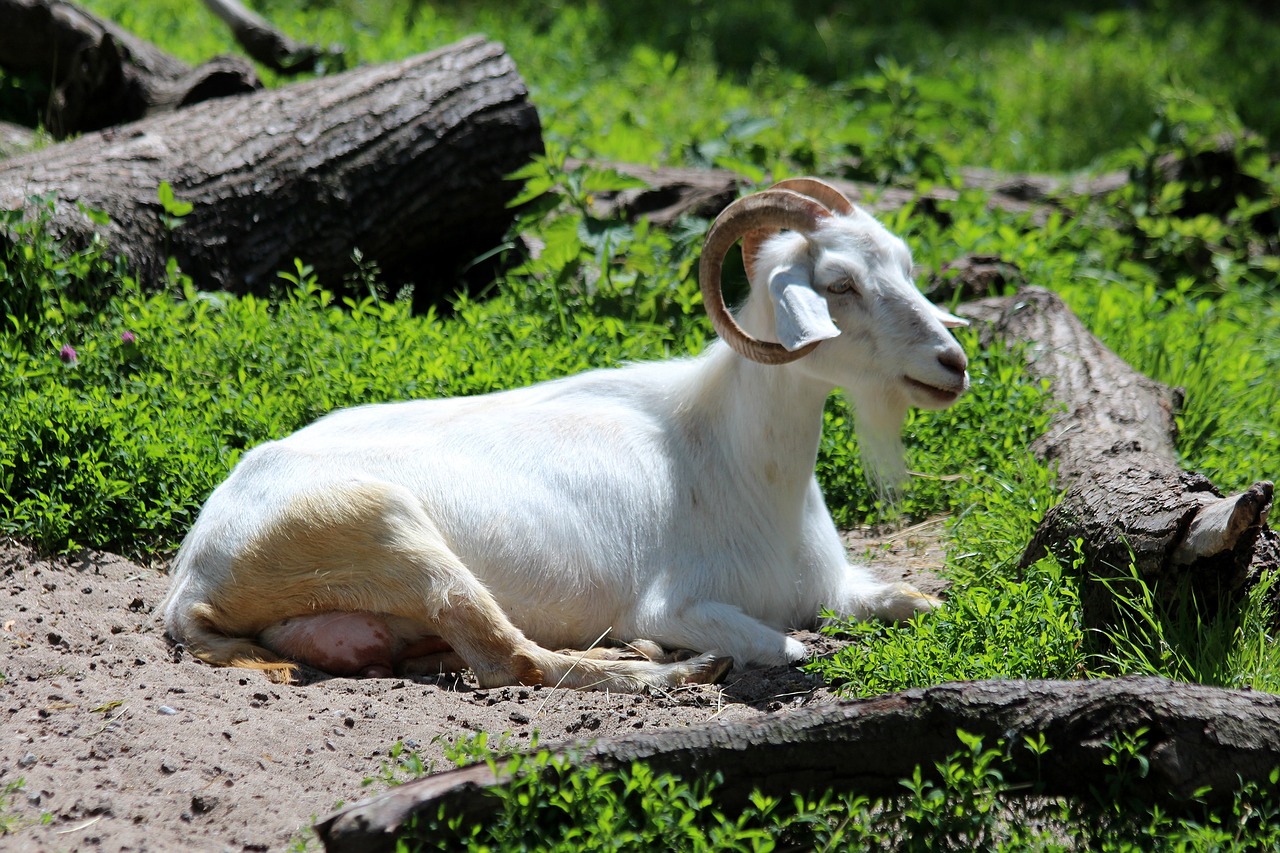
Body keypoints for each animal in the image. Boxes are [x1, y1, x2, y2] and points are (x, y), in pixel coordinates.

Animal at [167, 175, 967, 686]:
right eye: (839, 284)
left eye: (903, 265)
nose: (953, 363)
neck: (734, 458)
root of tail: (192, 578)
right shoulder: (682, 603)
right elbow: (795, 650)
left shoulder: (834, 585)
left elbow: (920, 601)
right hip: (392, 533)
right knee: (511, 661)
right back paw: (669, 667)